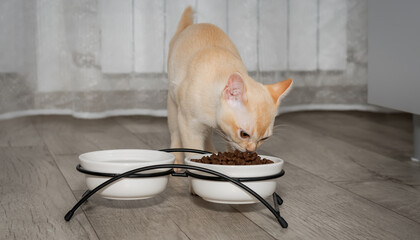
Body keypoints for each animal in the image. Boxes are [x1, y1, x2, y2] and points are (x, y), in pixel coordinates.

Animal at [167, 7, 292, 165]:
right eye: (244, 134)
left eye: (264, 138)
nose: (251, 150)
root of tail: (190, 27)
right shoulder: (189, 125)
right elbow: (192, 148)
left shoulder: (226, 133)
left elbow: (230, 145)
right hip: (173, 105)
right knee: (175, 132)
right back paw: (177, 158)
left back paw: (210, 150)